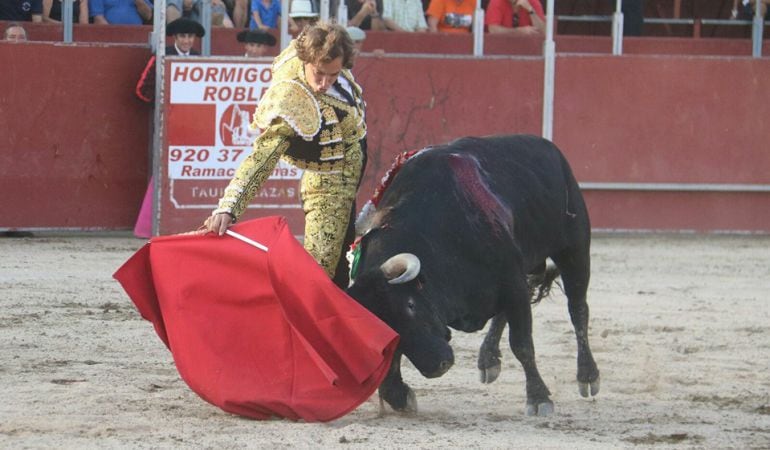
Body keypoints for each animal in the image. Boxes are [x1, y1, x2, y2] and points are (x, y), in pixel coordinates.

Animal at [346, 135, 600, 416]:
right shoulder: (511, 284)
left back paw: (588, 376)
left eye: (411, 305)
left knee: (578, 309)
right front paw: (398, 395)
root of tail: (548, 146)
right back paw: (488, 359)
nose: (437, 366)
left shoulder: (512, 281)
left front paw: (538, 398)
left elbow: (522, 344)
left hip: (574, 249)